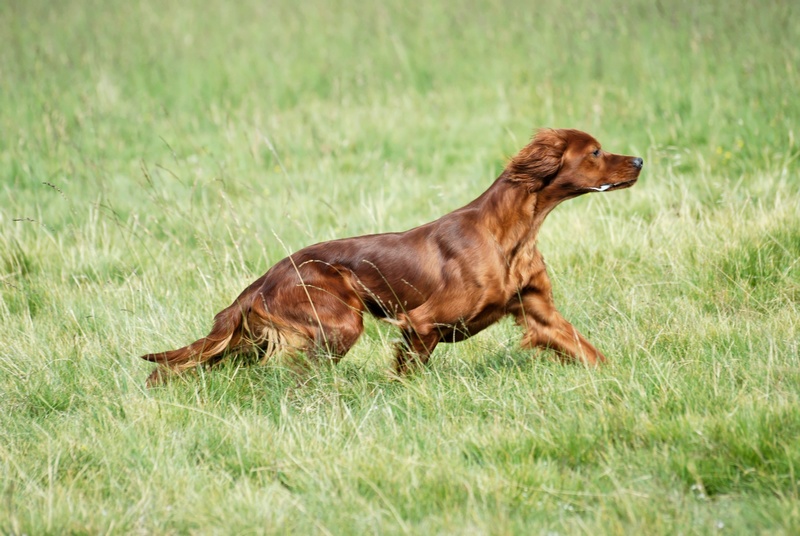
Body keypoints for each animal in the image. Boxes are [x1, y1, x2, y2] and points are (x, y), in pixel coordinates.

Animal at [142, 130, 644, 386]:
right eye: (595, 151)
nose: (640, 160)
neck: (512, 233)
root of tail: (262, 279)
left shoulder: (541, 315)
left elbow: (591, 353)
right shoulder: (421, 323)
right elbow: (408, 371)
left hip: (260, 338)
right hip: (339, 322)